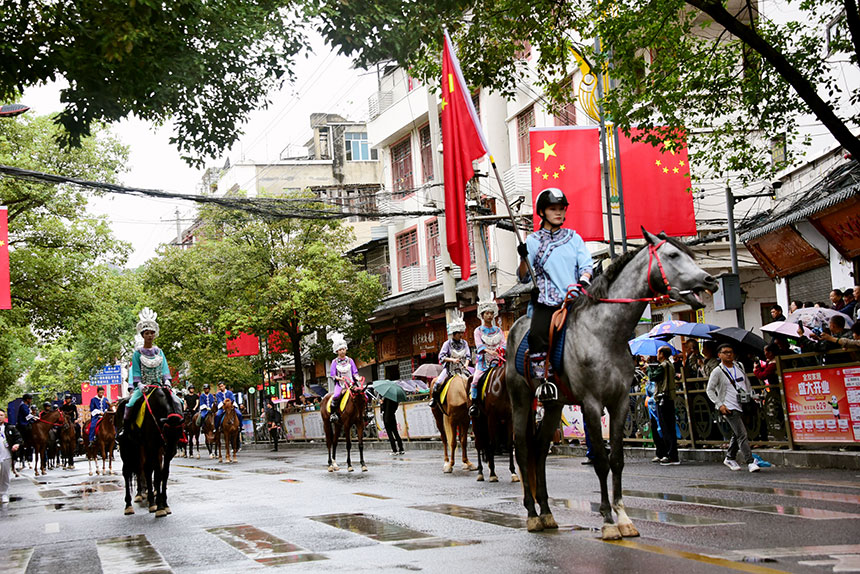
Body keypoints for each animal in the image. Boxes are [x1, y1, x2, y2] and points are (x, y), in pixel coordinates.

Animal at [115, 390, 182, 520]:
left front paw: (164, 505)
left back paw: (150, 501)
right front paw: (160, 507)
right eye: (166, 431)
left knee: (145, 470)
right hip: (127, 449)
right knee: (127, 472)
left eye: (179, 432)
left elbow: (163, 474)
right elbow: (157, 474)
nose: (172, 451)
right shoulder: (154, 446)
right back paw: (129, 505)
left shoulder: (162, 451)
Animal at [508, 230, 716, 540]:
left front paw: (624, 518)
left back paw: (546, 512)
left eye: (690, 254)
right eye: (672, 255)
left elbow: (616, 459)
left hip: (554, 404)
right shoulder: (592, 404)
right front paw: (607, 520)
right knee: (523, 447)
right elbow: (601, 460)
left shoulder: (619, 404)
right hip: (521, 400)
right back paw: (533, 514)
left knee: (541, 448)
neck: (605, 333)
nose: (709, 280)